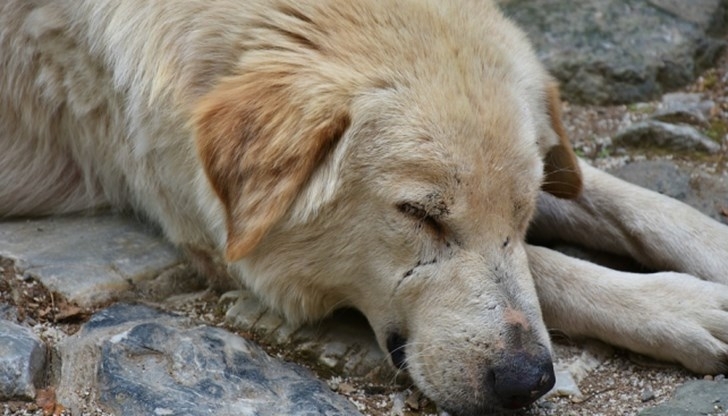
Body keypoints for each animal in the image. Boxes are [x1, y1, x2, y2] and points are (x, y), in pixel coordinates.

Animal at [1, 0, 728, 412]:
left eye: (521, 216)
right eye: (420, 214)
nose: (529, 382)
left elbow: (625, 201)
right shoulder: (207, 227)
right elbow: (555, 270)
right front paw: (680, 306)